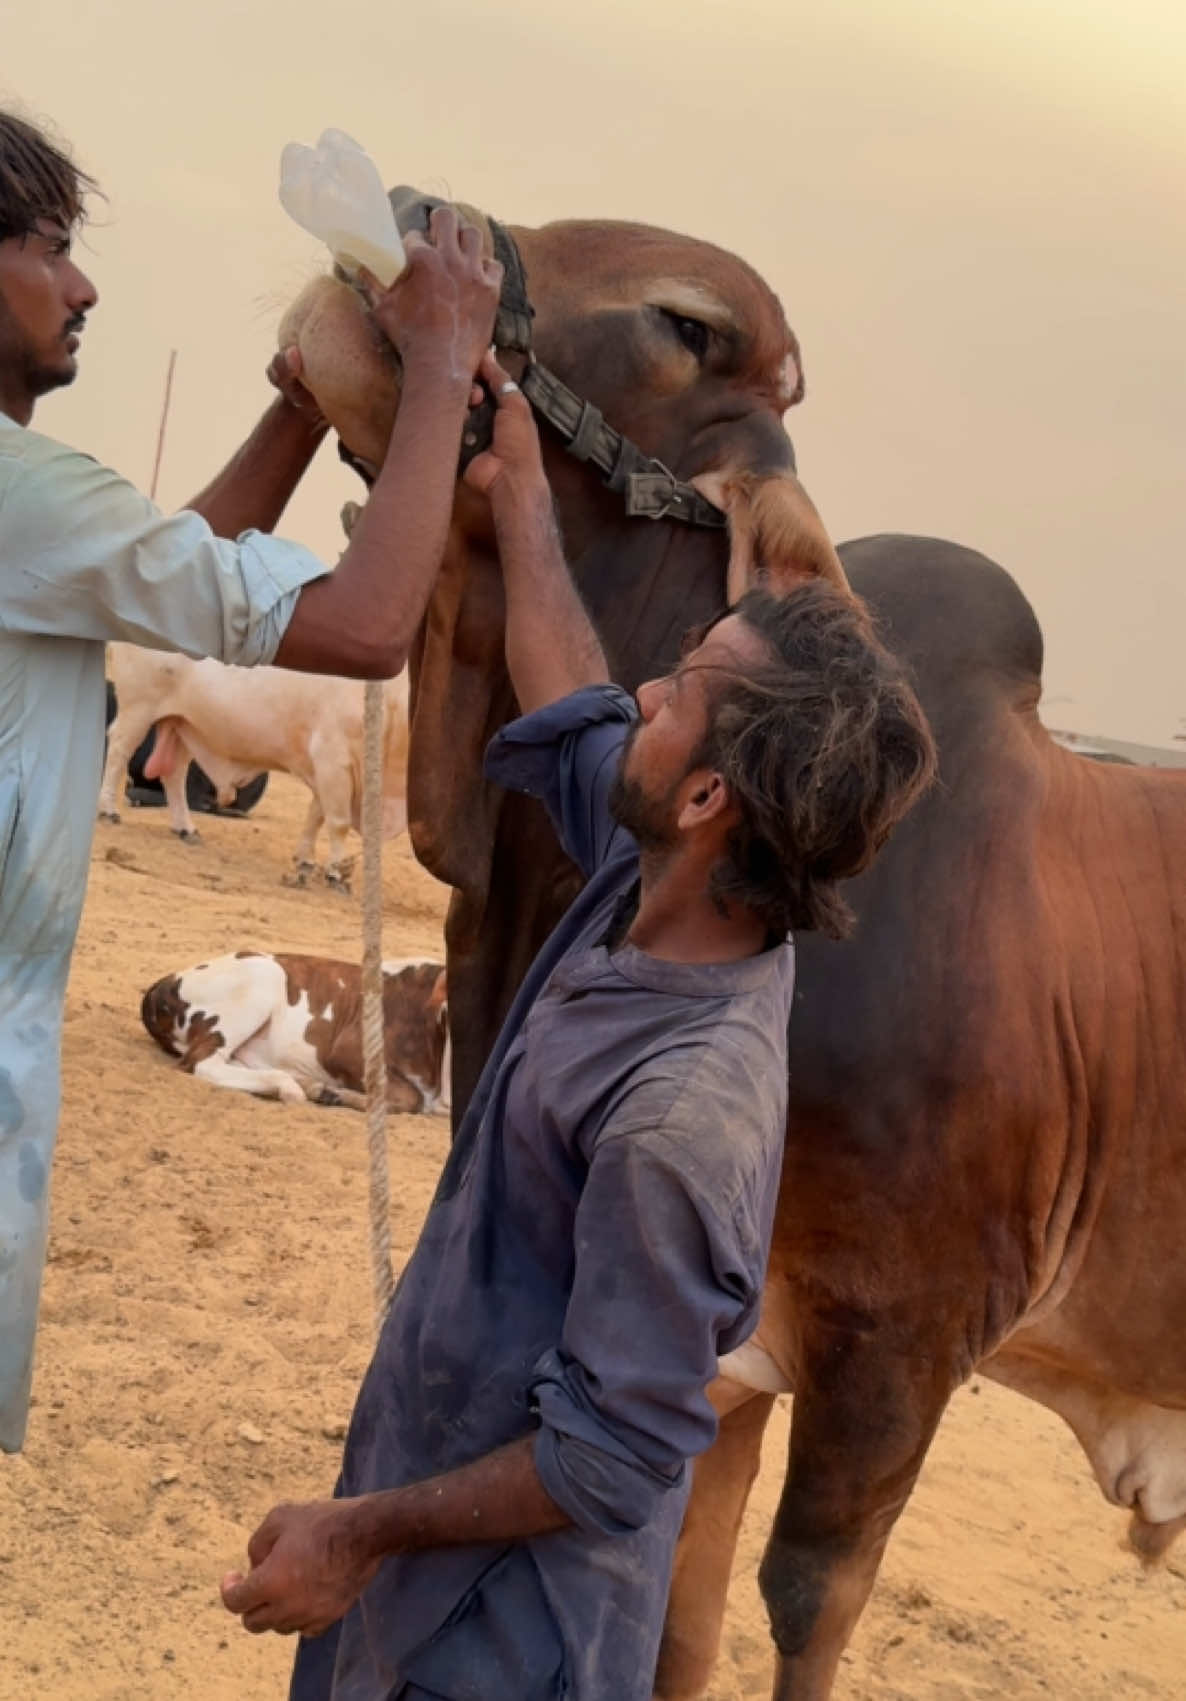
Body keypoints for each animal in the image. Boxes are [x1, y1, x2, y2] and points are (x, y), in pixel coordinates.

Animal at [99, 648, 410, 889]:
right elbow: (337, 822)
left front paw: (304, 860)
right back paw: (108, 810)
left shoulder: (326, 772)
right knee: (118, 750)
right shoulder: (332, 761)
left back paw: (185, 828)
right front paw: (335, 872)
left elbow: (315, 816)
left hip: (183, 726)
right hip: (138, 709)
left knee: (173, 774)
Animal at [140, 951, 449, 1116]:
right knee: (204, 1063)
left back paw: (307, 1084)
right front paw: (339, 1096)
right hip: (264, 976)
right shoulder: (347, 1050)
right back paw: (291, 1087)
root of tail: (166, 981)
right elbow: (411, 1097)